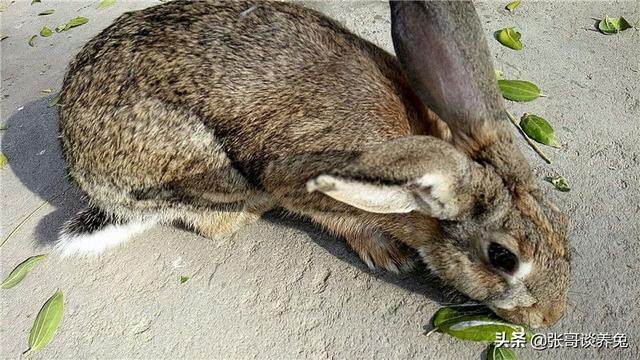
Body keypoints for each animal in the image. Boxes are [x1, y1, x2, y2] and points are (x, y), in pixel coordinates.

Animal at [56, 0, 568, 328]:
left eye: (562, 224)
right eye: (503, 258)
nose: (550, 317)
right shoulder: (297, 181)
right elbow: (337, 217)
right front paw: (389, 255)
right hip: (205, 169)